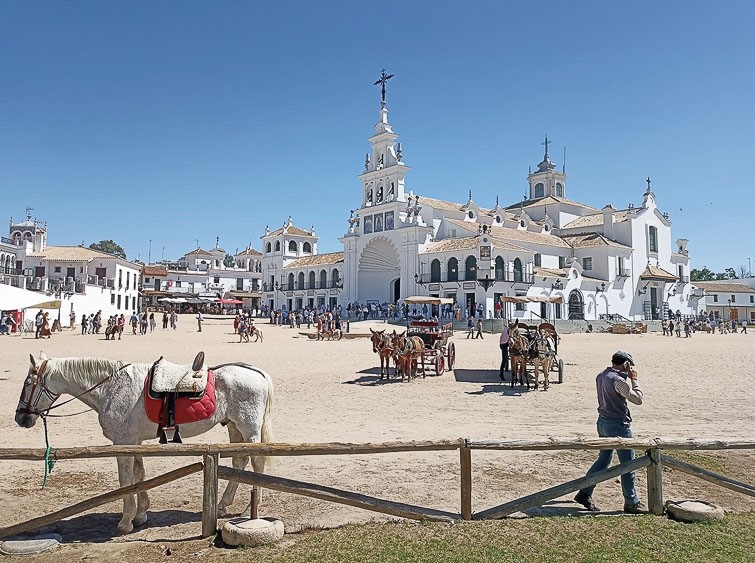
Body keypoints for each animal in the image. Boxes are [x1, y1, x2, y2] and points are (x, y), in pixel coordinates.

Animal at [14, 354, 274, 536]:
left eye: (27, 383)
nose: (20, 418)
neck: (111, 388)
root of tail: (257, 372)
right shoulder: (134, 442)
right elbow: (139, 476)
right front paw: (141, 514)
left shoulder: (123, 443)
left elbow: (126, 480)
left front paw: (126, 520)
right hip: (234, 427)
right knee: (240, 461)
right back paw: (222, 505)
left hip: (249, 429)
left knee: (256, 462)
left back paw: (250, 508)